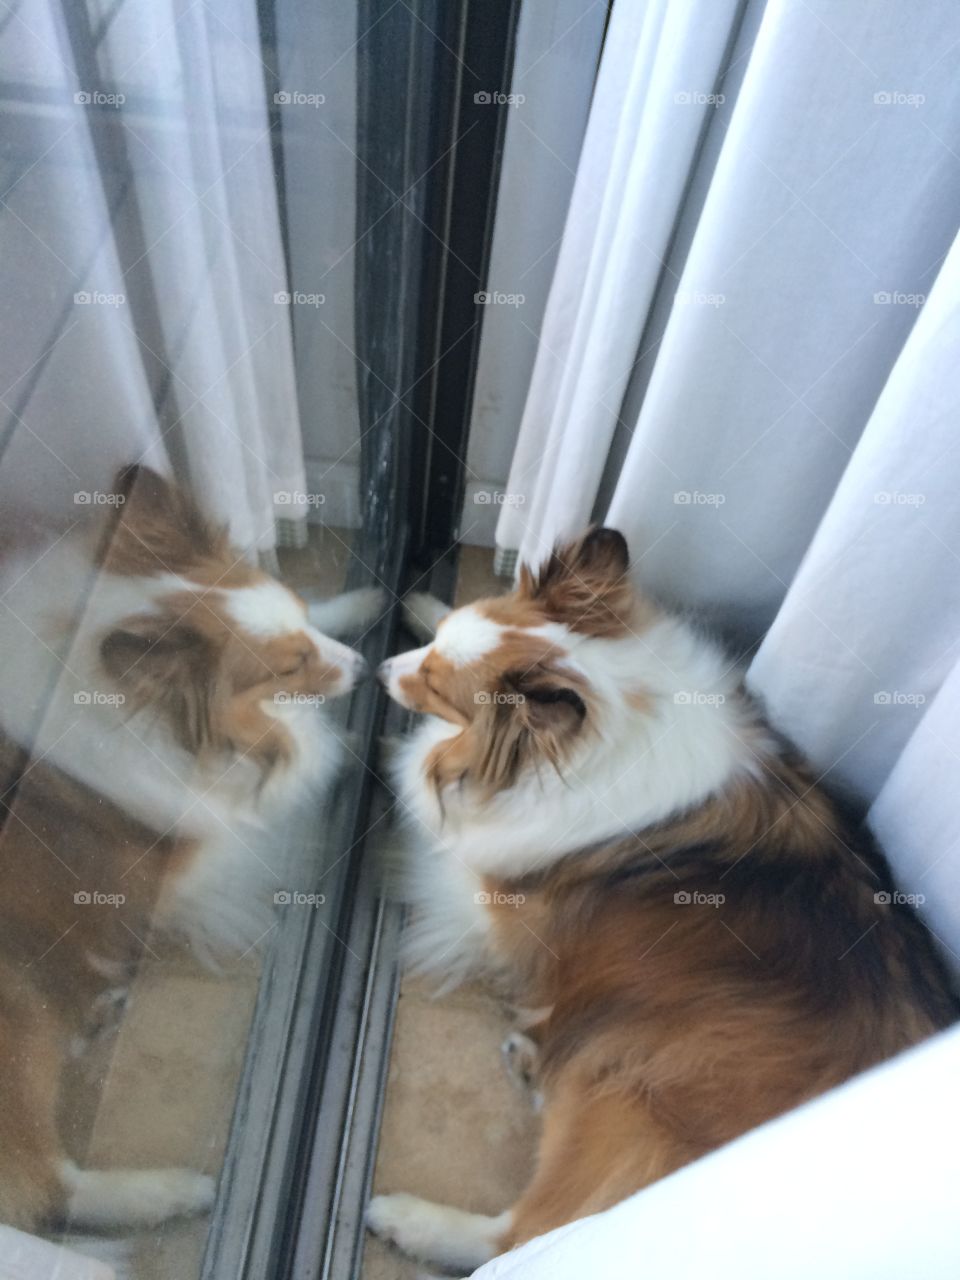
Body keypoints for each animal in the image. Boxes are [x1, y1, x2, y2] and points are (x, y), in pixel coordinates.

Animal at [0, 468, 381, 1239]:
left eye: (303, 620)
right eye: (288, 666)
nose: (364, 669)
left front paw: (363, 600)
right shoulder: (188, 865)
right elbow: (293, 775)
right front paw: (338, 746)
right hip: (14, 1008)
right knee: (45, 1189)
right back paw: (173, 1192)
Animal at [363, 527, 957, 1269]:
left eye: (437, 685)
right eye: (436, 650)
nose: (382, 670)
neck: (613, 717)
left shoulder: (501, 904)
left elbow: (426, 799)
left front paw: (384, 752)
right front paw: (419, 603)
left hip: (624, 1088)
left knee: (525, 1235)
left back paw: (408, 1218)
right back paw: (529, 1062)